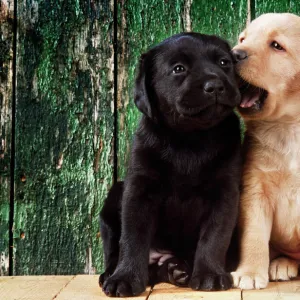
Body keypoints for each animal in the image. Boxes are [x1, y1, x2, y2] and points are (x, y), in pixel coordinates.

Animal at [99, 31, 243, 296]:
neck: (189, 139)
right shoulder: (138, 191)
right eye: (178, 69)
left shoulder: (225, 192)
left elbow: (215, 236)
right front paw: (125, 278)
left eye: (223, 63)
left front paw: (210, 274)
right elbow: (132, 238)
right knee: (115, 249)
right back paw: (111, 274)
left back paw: (178, 269)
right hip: (114, 198)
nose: (215, 85)